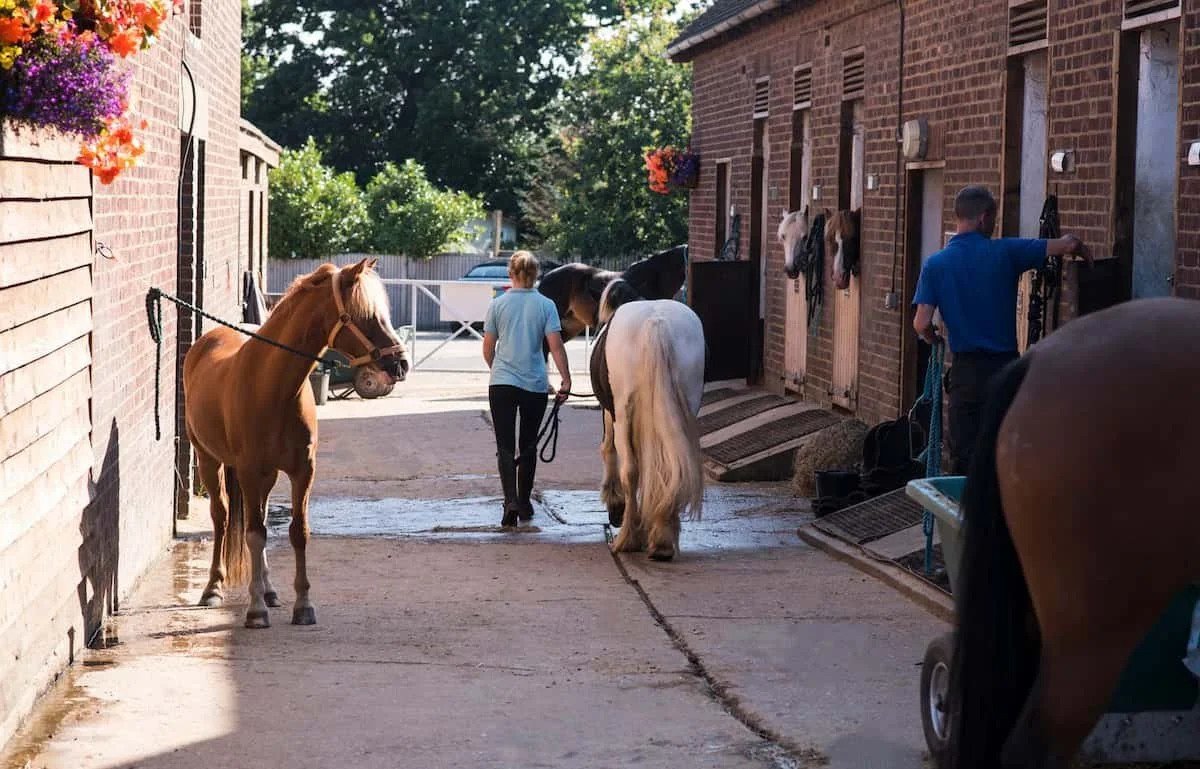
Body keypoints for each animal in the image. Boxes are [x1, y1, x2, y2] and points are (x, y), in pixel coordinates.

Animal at [182, 258, 409, 628]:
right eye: (366, 315)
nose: (400, 364)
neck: (273, 385)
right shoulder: (248, 470)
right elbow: (254, 533)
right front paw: (255, 610)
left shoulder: (303, 470)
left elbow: (296, 531)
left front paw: (302, 605)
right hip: (209, 461)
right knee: (223, 517)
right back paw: (213, 587)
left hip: (267, 476)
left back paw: (270, 589)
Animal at [587, 278, 706, 561]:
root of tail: (656, 321)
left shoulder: (610, 412)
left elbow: (608, 450)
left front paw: (615, 502)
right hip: (688, 402)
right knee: (672, 465)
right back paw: (662, 538)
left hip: (622, 413)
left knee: (630, 470)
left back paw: (629, 538)